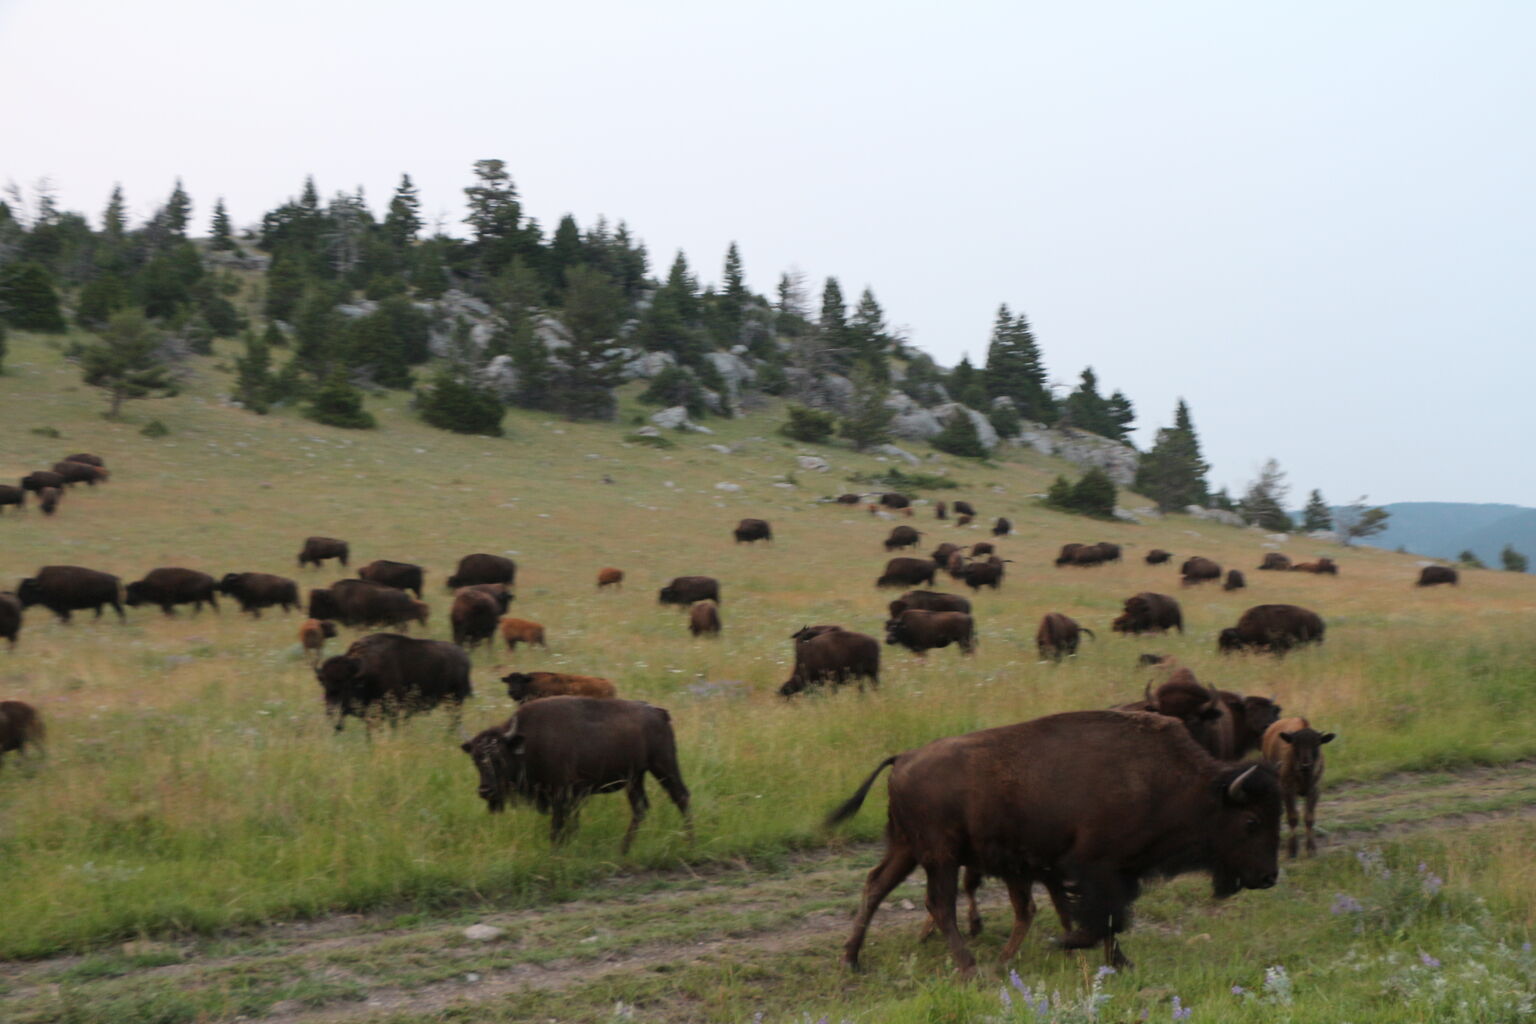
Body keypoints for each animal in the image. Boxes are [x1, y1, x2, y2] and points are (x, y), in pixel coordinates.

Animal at [316, 629, 466, 733]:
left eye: (346, 685)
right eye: (324, 684)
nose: (331, 710)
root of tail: (463, 656)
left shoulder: (391, 708)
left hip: (456, 699)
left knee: (455, 719)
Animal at [457, 696, 694, 859]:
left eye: (499, 758)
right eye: (476, 759)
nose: (485, 790)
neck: (528, 742)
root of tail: (659, 713)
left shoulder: (562, 795)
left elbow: (558, 827)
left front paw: (556, 853)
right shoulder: (570, 797)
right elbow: (569, 825)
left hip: (663, 766)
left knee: (681, 796)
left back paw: (689, 841)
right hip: (635, 779)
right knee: (641, 808)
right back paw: (624, 850)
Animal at [835, 709, 1277, 976]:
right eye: (1251, 821)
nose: (1269, 877)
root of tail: (904, 757)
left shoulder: (1113, 873)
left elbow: (1108, 919)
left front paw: (1119, 963)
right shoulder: (1096, 868)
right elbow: (1104, 918)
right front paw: (1069, 944)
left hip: (906, 849)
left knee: (876, 886)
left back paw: (852, 959)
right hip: (939, 855)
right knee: (939, 904)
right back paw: (969, 966)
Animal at [1259, 718, 1333, 859]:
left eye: (1317, 744)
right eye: (1295, 744)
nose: (1305, 765)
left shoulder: (1314, 790)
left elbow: (1309, 818)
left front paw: (1311, 849)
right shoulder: (1288, 790)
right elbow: (1292, 817)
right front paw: (1292, 850)